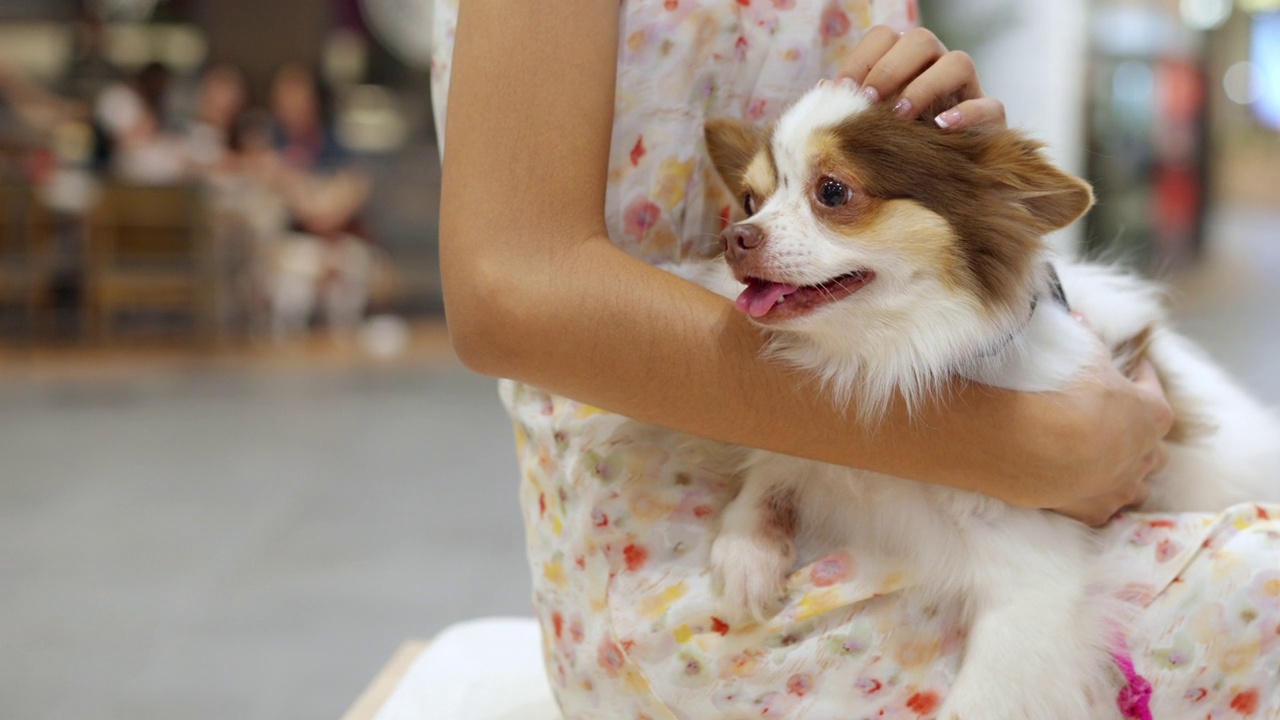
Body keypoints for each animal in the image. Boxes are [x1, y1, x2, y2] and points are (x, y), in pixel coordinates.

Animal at [670, 81, 1280, 712]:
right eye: (748, 200)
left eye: (833, 191)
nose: (736, 237)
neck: (875, 358)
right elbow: (774, 467)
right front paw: (747, 548)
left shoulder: (1034, 578)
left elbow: (983, 699)